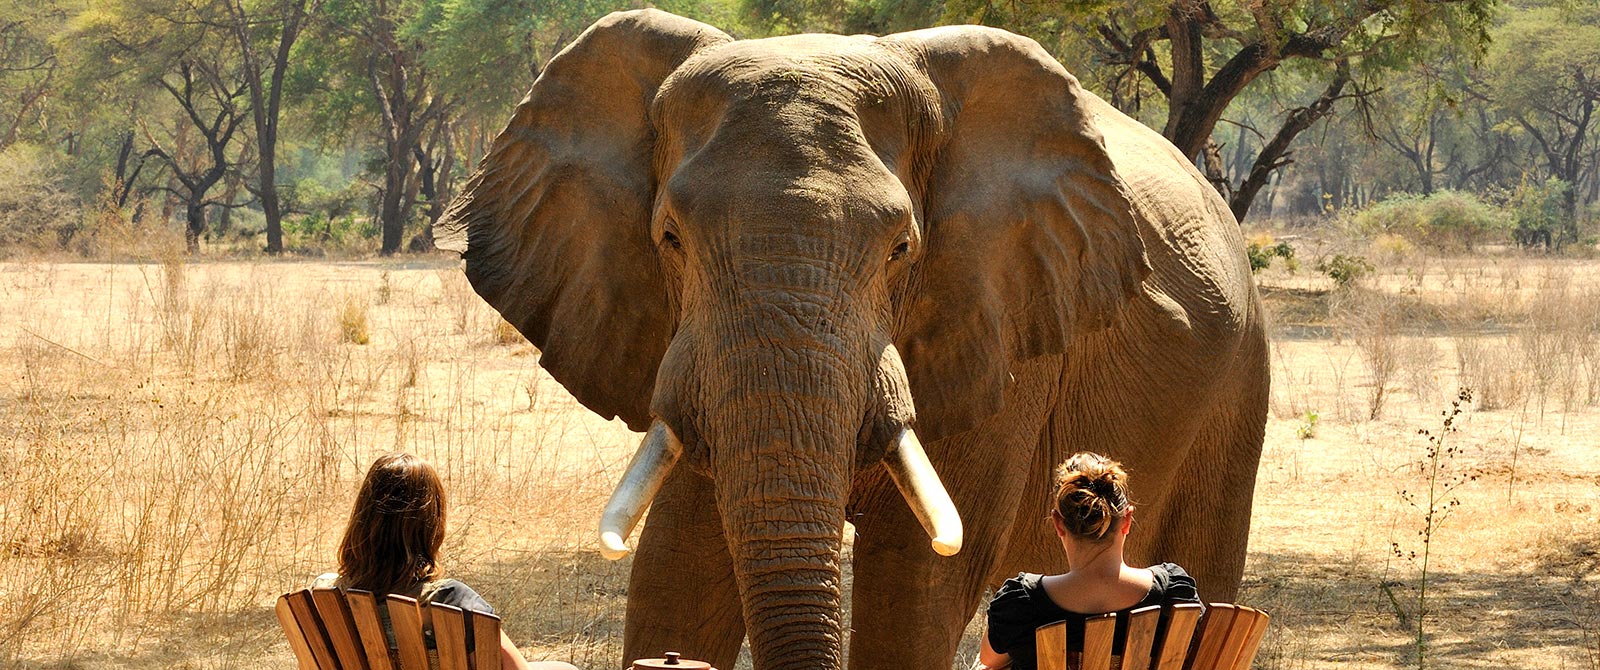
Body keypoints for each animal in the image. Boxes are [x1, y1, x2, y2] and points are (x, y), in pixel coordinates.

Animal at [435, 10, 1260, 670]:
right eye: (669, 238)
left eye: (901, 248)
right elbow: (682, 558)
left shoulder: (1001, 324)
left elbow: (917, 578)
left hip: (1237, 384)